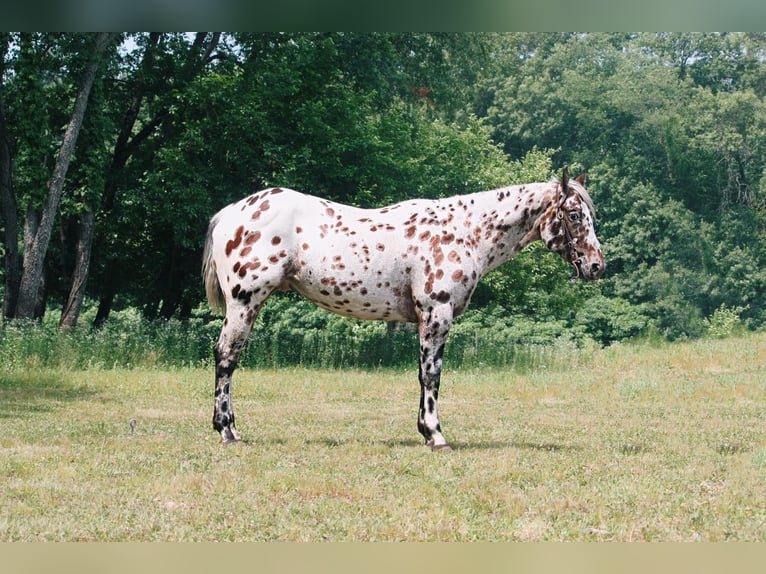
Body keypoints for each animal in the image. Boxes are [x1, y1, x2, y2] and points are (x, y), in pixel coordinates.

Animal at [202, 169, 608, 452]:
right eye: (574, 215)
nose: (596, 266)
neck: (464, 231)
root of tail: (230, 213)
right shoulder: (436, 313)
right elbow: (432, 376)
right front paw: (436, 435)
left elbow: (422, 375)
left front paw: (424, 431)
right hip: (245, 301)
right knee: (226, 357)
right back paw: (228, 431)